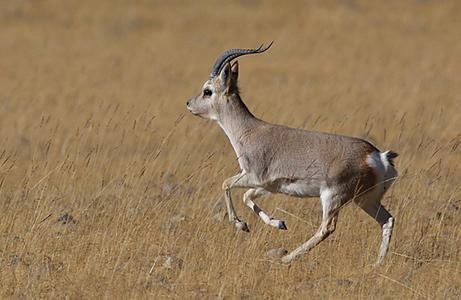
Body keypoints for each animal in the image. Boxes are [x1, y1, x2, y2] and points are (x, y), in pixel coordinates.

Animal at [185, 42, 398, 264]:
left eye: (207, 91)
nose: (188, 104)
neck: (249, 131)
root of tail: (377, 156)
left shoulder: (253, 177)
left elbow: (226, 184)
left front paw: (241, 224)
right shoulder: (268, 186)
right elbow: (246, 197)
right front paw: (279, 223)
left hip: (333, 198)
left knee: (326, 229)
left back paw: (286, 259)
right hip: (365, 199)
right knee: (387, 220)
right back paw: (377, 263)